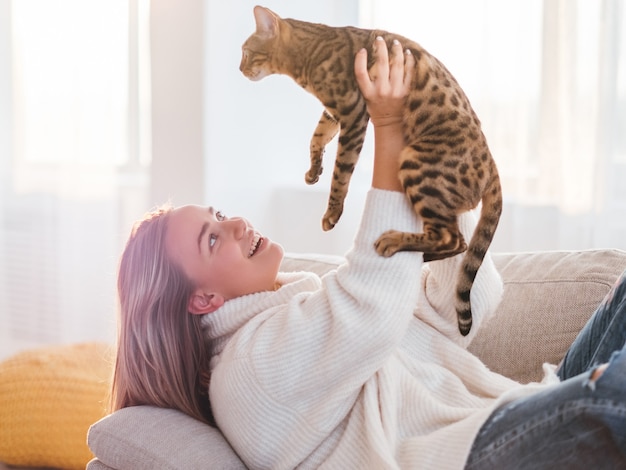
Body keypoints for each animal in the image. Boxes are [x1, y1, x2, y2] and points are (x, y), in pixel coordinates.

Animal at [239, 4, 502, 334]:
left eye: (246, 52)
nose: (239, 68)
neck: (309, 52)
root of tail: (492, 165)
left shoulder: (352, 111)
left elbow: (341, 172)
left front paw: (332, 212)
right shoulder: (335, 111)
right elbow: (317, 136)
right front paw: (313, 171)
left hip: (417, 162)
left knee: (452, 237)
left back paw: (397, 241)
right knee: (460, 242)